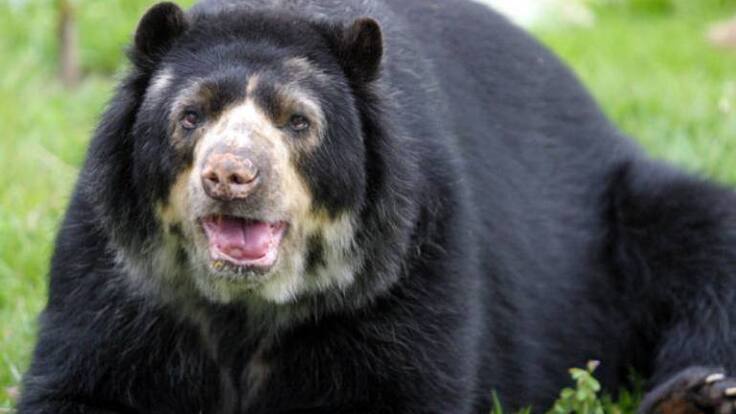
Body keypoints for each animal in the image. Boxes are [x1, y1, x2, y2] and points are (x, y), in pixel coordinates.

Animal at [17, 0, 736, 412]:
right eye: (189, 116)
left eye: (298, 121)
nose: (231, 176)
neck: (245, 307)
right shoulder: (116, 272)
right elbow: (81, 381)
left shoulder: (409, 267)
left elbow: (402, 387)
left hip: (623, 214)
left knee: (705, 240)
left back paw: (697, 396)